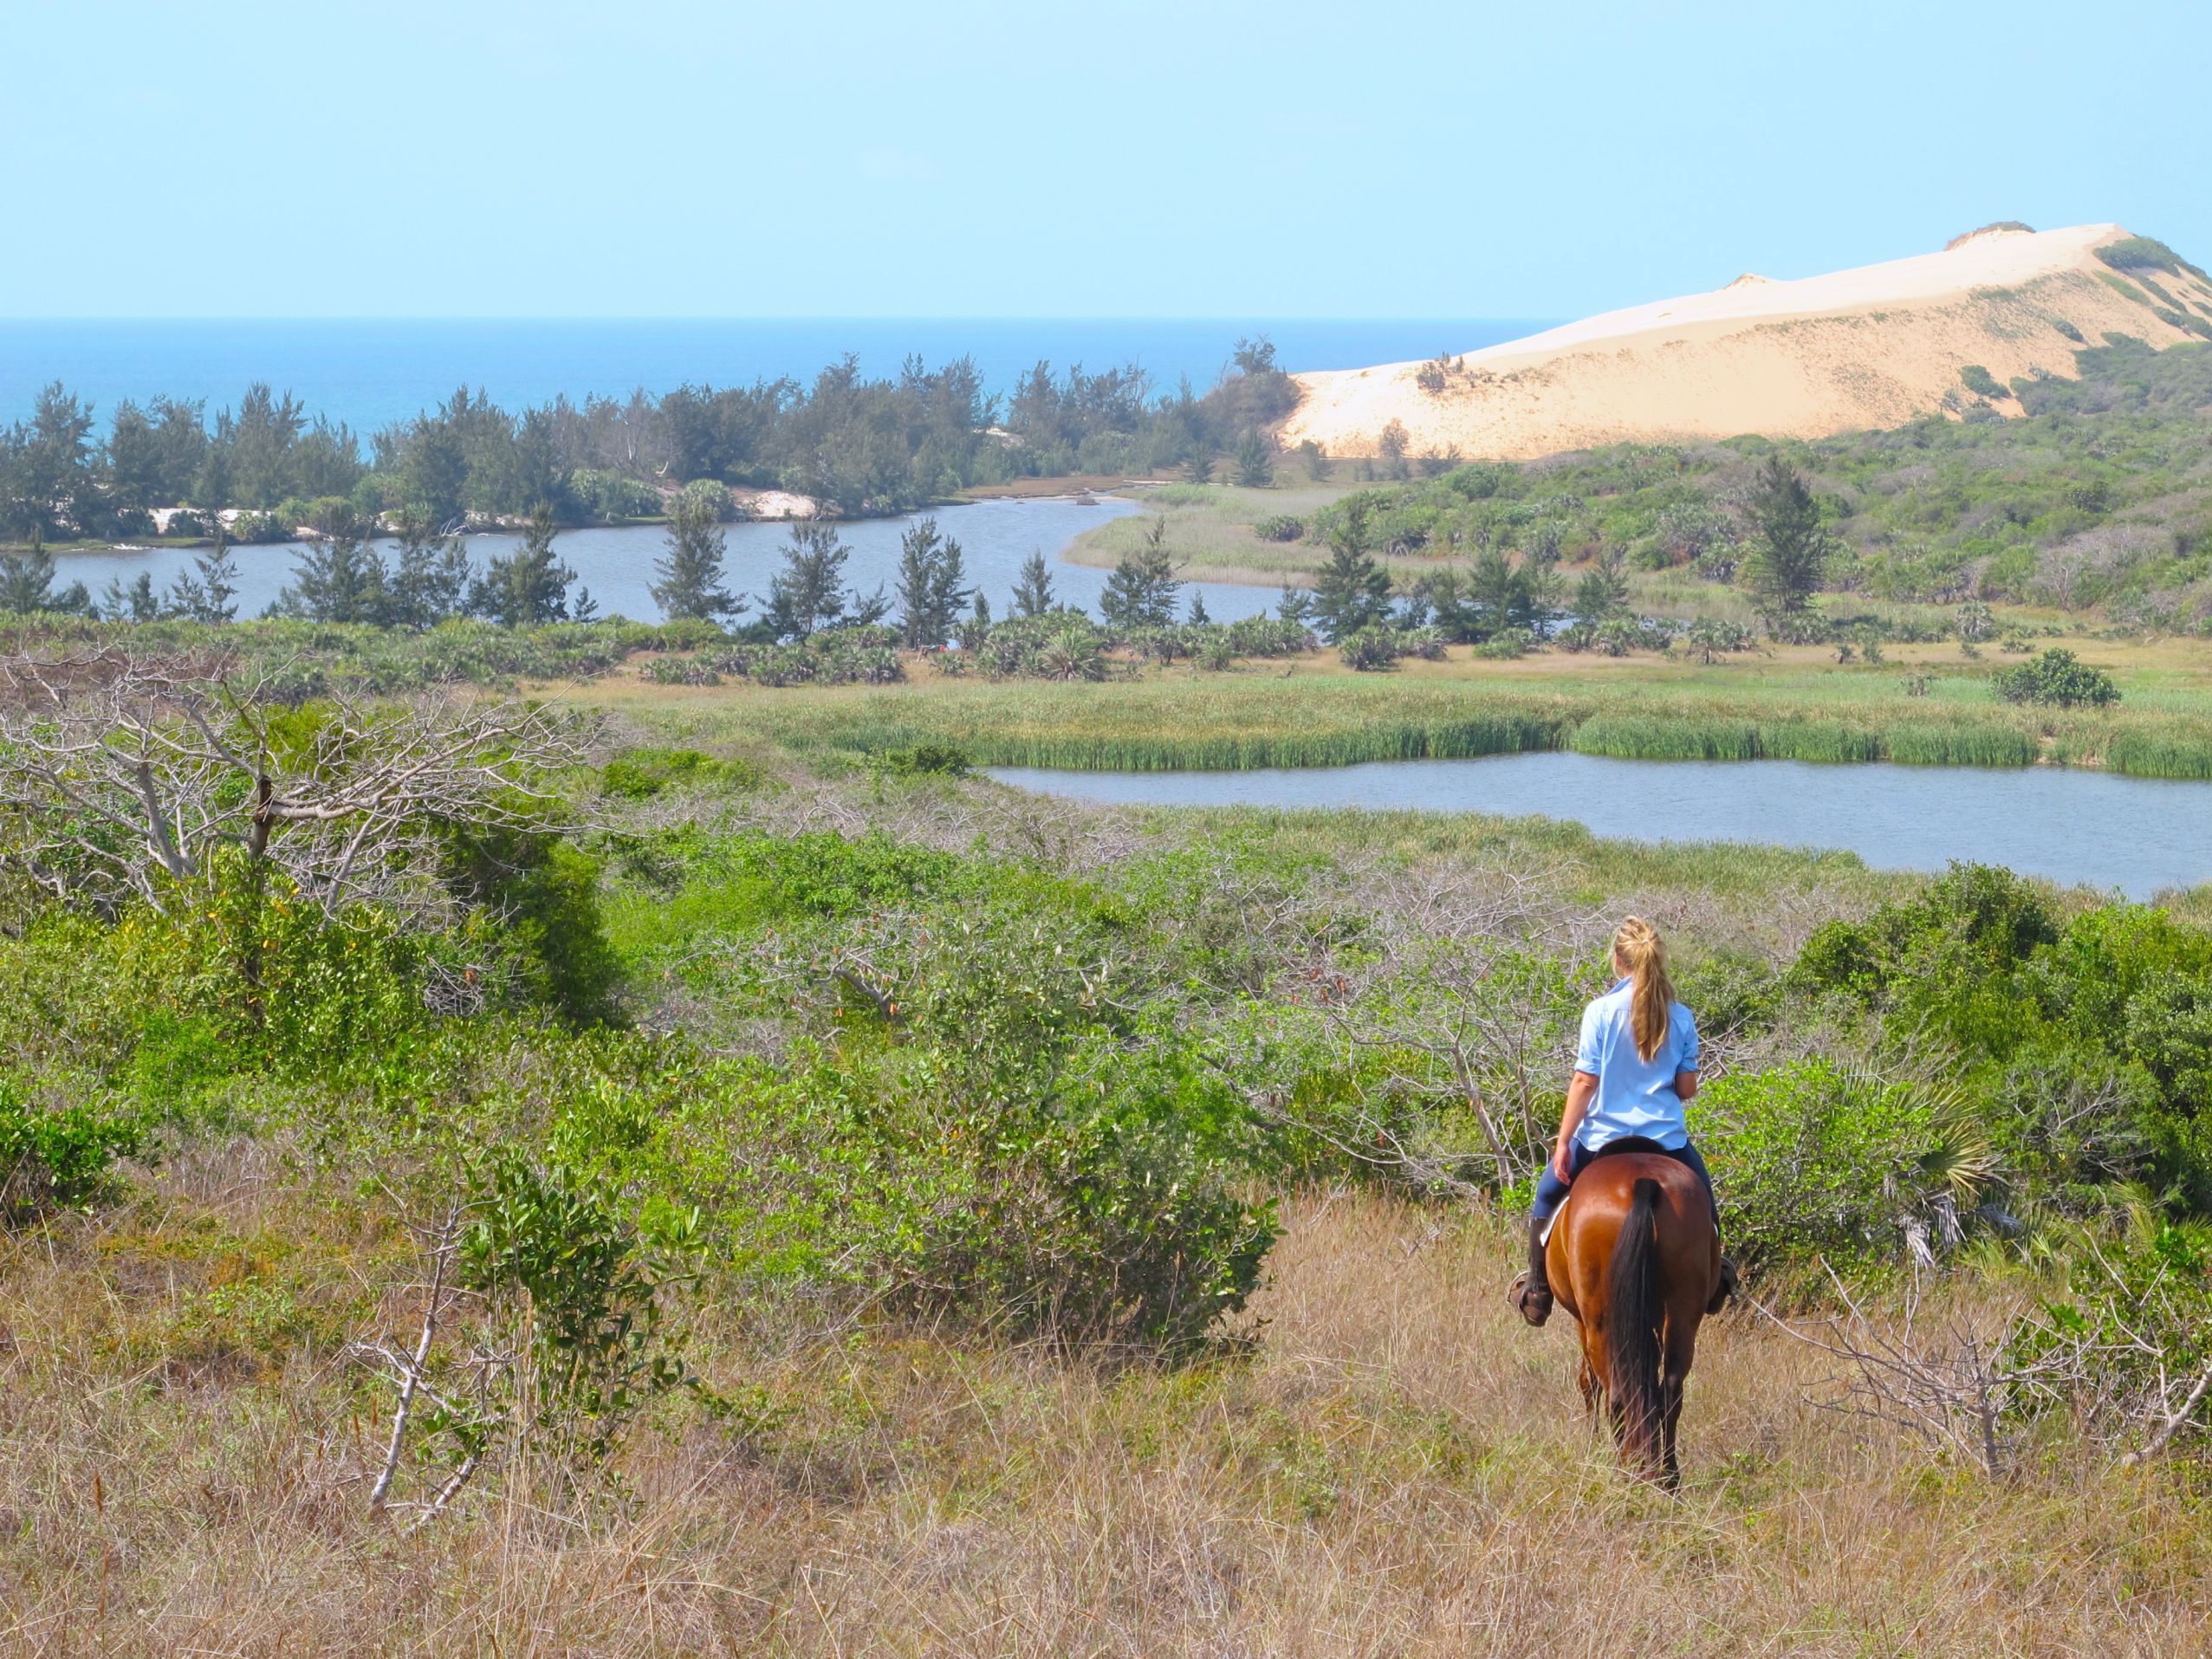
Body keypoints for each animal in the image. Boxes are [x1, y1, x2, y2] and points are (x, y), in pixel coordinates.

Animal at [1548, 1150, 1716, 1486]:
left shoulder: (1582, 1321)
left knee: (1615, 1393)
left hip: (1599, 1318)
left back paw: (1624, 1467)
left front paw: (1591, 1448)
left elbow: (1587, 1382)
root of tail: (1643, 1182)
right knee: (1671, 1389)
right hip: (1683, 1308)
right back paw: (1668, 1476)